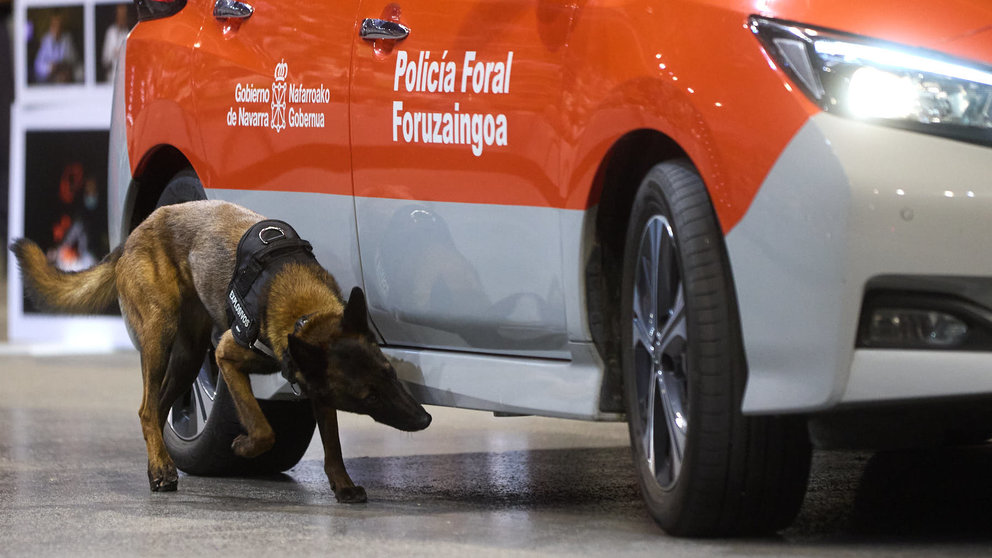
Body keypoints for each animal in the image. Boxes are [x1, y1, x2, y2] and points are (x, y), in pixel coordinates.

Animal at [9, 200, 430, 504]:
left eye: (390, 374)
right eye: (368, 397)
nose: (425, 419)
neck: (304, 314)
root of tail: (135, 234)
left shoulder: (318, 389)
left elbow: (334, 444)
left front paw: (342, 484)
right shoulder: (227, 356)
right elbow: (263, 428)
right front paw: (243, 447)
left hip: (189, 355)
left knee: (157, 409)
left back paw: (159, 463)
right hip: (162, 336)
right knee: (146, 408)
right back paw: (161, 469)